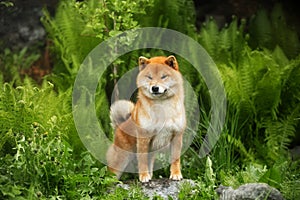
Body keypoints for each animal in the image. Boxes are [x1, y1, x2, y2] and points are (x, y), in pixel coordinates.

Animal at [105, 55, 185, 183]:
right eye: (149, 77)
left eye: (163, 76)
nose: (155, 88)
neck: (162, 107)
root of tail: (120, 125)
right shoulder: (143, 138)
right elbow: (142, 160)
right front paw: (143, 176)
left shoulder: (177, 136)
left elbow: (175, 160)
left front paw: (176, 174)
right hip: (121, 159)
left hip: (151, 153)